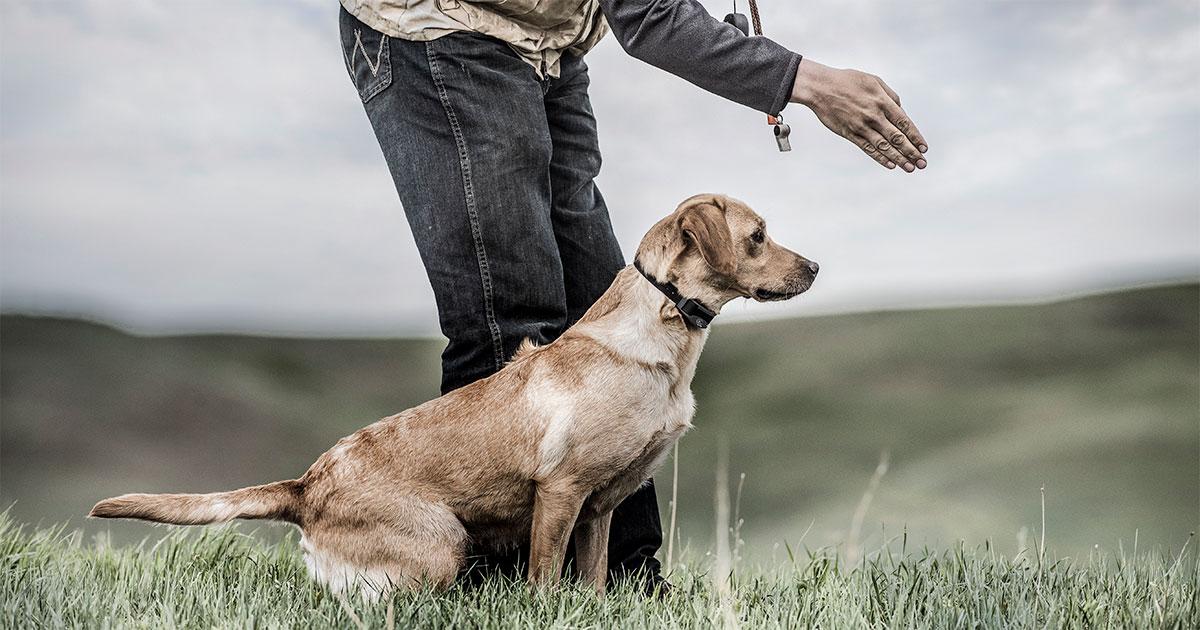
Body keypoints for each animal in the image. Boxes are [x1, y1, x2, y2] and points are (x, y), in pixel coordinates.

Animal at [91, 194, 816, 597]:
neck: (663, 331)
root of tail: (305, 485)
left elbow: (591, 578)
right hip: (442, 542)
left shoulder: (600, 507)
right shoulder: (560, 492)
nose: (815, 266)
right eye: (757, 236)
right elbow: (545, 579)